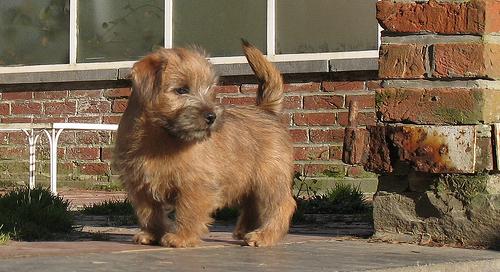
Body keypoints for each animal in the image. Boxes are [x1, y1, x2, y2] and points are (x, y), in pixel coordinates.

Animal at [113, 41, 296, 248]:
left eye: (209, 89)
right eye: (181, 90)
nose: (212, 116)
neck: (160, 136)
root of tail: (265, 111)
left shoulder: (194, 184)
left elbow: (188, 211)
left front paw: (181, 237)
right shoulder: (140, 185)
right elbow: (149, 213)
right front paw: (152, 234)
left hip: (269, 177)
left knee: (282, 205)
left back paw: (264, 235)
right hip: (250, 180)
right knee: (253, 204)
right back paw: (246, 231)